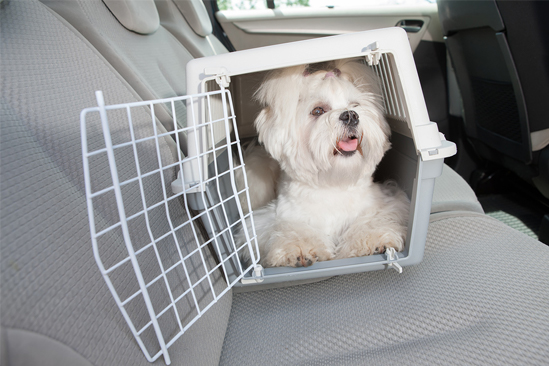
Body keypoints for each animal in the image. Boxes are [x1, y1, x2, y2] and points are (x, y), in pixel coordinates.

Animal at [238, 58, 408, 268]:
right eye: (318, 110)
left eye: (355, 105)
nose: (351, 115)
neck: (333, 184)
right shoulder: (277, 217)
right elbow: (292, 229)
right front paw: (300, 248)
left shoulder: (383, 204)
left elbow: (371, 221)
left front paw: (372, 240)